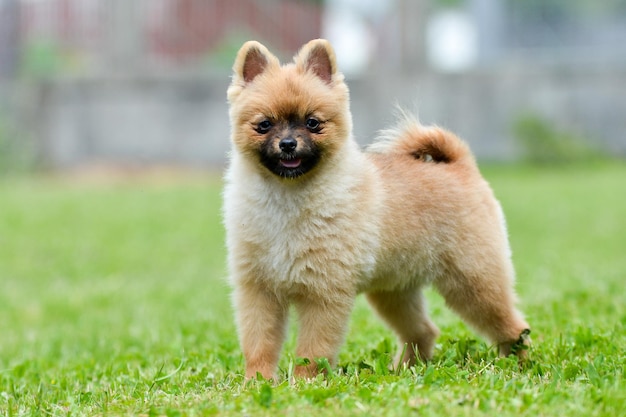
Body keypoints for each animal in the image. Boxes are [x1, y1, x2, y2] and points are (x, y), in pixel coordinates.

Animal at [222, 39, 528, 380]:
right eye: (264, 125)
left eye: (313, 123)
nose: (288, 143)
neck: (287, 198)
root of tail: (461, 166)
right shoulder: (259, 291)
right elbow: (259, 344)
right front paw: (257, 381)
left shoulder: (323, 294)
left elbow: (312, 350)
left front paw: (305, 383)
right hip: (394, 292)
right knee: (423, 331)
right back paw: (405, 368)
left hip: (474, 282)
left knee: (514, 326)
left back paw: (519, 364)